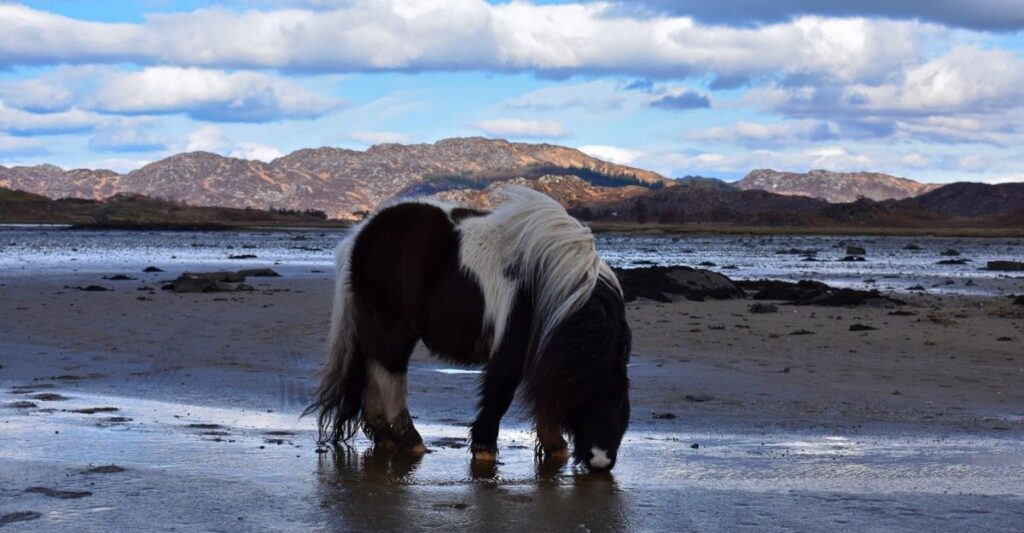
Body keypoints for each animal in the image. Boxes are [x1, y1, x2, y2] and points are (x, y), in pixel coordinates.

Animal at [304, 186, 631, 471]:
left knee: (376, 370)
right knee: (390, 375)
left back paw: (385, 436)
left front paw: (554, 446)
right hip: (393, 328)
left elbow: (546, 394)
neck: (558, 289)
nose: (600, 460)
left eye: (619, 399)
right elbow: (501, 391)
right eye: (586, 395)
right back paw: (411, 440)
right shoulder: (511, 347)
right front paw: (485, 448)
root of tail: (360, 236)